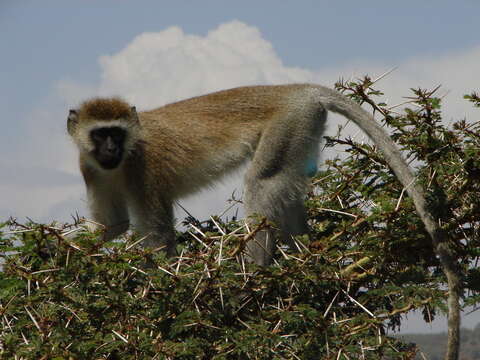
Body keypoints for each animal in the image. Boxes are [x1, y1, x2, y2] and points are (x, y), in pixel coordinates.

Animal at [66, 83, 438, 264]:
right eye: (100, 135)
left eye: (117, 134)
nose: (110, 150)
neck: (122, 161)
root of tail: (298, 89)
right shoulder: (89, 168)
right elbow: (113, 225)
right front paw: (59, 254)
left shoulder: (144, 170)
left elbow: (157, 239)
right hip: (304, 127)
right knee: (283, 188)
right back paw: (302, 257)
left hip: (289, 122)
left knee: (263, 184)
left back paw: (251, 275)